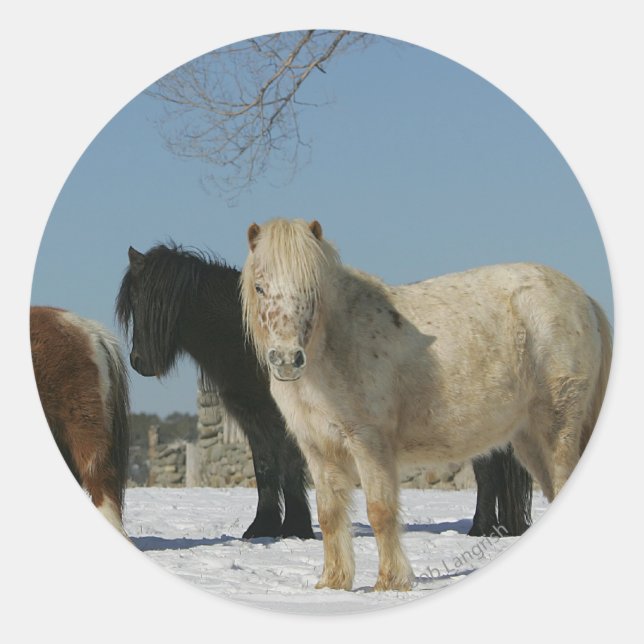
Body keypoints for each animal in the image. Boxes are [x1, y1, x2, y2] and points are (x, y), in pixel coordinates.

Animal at [115, 243, 314, 540]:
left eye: (145, 300)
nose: (138, 361)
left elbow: (289, 461)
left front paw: (296, 528)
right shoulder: (252, 414)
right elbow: (264, 464)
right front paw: (262, 527)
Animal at [240, 217, 612, 591]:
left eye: (311, 288)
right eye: (260, 287)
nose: (287, 359)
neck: (335, 344)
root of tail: (582, 298)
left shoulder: (369, 442)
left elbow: (380, 510)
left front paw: (389, 582)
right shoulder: (318, 449)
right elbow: (329, 516)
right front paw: (332, 584)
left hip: (558, 427)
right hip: (529, 439)